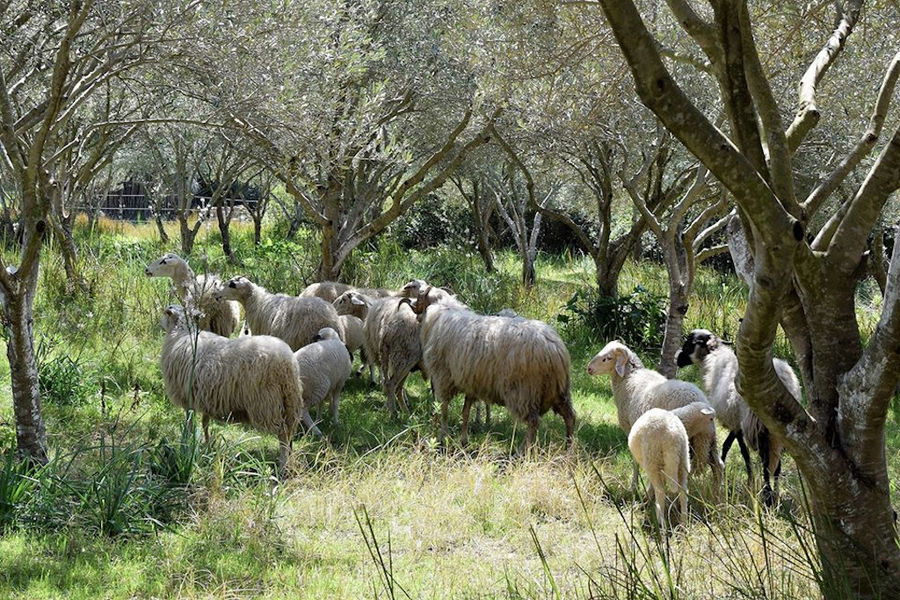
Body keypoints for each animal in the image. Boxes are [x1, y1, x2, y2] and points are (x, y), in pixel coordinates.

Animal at [158, 304, 302, 474]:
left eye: (166, 313)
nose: (160, 324)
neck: (181, 333)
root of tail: (287, 363)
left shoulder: (188, 397)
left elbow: (189, 423)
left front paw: (187, 442)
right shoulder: (205, 397)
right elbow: (205, 422)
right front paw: (207, 445)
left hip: (266, 403)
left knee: (283, 434)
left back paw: (282, 466)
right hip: (290, 401)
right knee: (290, 434)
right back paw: (290, 461)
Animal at [418, 302, 572, 448]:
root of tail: (554, 347)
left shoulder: (443, 377)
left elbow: (444, 409)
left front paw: (442, 438)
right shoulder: (471, 383)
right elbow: (465, 412)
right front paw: (463, 440)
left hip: (524, 391)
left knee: (533, 422)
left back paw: (523, 450)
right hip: (558, 390)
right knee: (569, 416)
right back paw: (568, 447)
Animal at [592, 342, 724, 492]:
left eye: (607, 358)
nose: (589, 369)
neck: (629, 378)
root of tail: (698, 399)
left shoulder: (631, 428)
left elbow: (635, 460)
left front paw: (634, 486)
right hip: (709, 439)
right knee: (718, 466)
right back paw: (717, 493)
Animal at [676, 330, 800, 504]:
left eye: (690, 343)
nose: (677, 359)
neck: (713, 360)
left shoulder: (738, 423)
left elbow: (740, 450)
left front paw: (746, 479)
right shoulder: (736, 423)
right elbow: (729, 445)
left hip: (759, 424)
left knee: (766, 462)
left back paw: (767, 495)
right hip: (780, 429)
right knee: (776, 464)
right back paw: (775, 495)